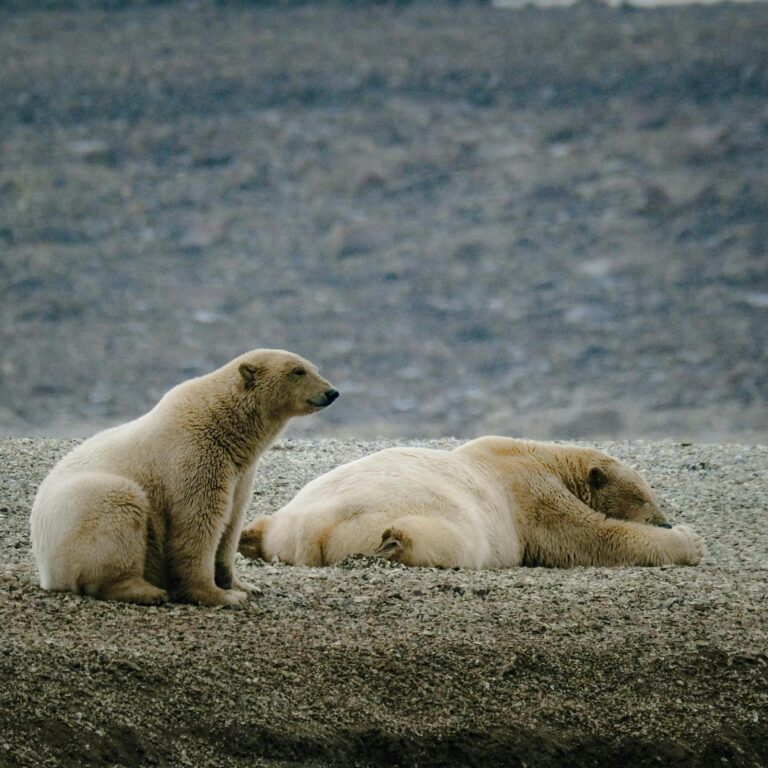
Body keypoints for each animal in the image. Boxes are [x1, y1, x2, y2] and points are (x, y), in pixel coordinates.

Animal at [32, 350, 340, 608]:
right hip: (88, 505)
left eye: (313, 367)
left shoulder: (239, 472)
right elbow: (198, 523)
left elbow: (231, 523)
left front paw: (245, 587)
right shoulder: (194, 458)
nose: (332, 392)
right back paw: (147, 591)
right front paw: (221, 596)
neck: (224, 427)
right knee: (119, 516)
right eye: (298, 371)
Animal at [238, 436, 704, 568]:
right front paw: (689, 539)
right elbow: (592, 539)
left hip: (289, 516)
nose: (664, 521)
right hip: (431, 521)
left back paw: (248, 536)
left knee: (265, 523)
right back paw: (394, 543)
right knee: (445, 540)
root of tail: (310, 532)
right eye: (645, 496)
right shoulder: (531, 492)